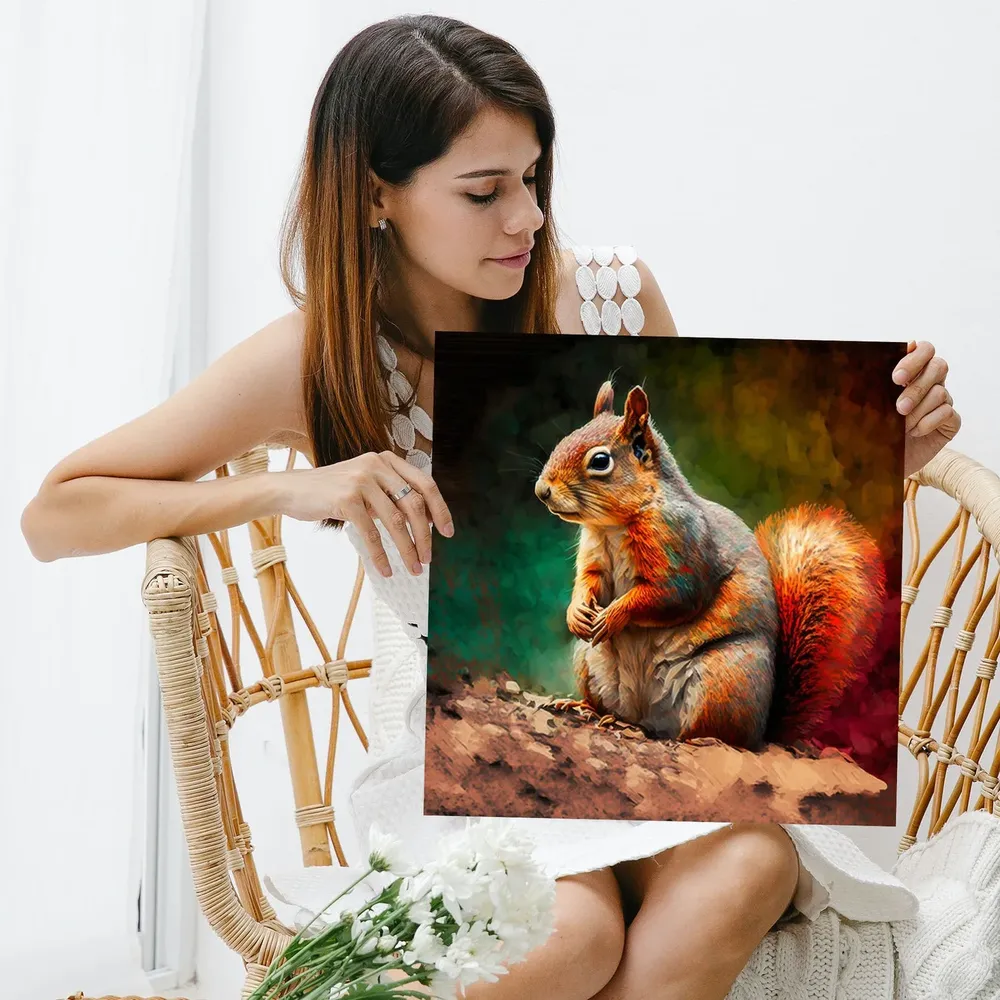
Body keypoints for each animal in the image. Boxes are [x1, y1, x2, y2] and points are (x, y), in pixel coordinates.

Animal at [533, 379, 887, 751]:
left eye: (600, 461)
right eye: (565, 439)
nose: (541, 490)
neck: (613, 525)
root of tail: (763, 731)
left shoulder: (682, 547)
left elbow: (671, 596)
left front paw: (614, 615)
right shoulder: (595, 554)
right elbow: (589, 580)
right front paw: (576, 612)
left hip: (724, 677)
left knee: (714, 733)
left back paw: (686, 737)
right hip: (589, 660)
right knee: (617, 709)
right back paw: (588, 708)